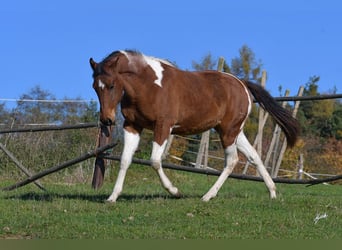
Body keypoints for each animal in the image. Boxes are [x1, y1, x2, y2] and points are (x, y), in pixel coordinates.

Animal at [89, 49, 300, 202]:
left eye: (112, 85)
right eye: (95, 87)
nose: (107, 120)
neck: (148, 86)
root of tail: (242, 84)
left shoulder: (163, 126)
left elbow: (155, 160)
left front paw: (175, 191)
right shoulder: (132, 126)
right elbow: (125, 160)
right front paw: (112, 197)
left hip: (228, 132)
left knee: (232, 161)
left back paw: (207, 196)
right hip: (233, 131)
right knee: (254, 156)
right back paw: (272, 192)